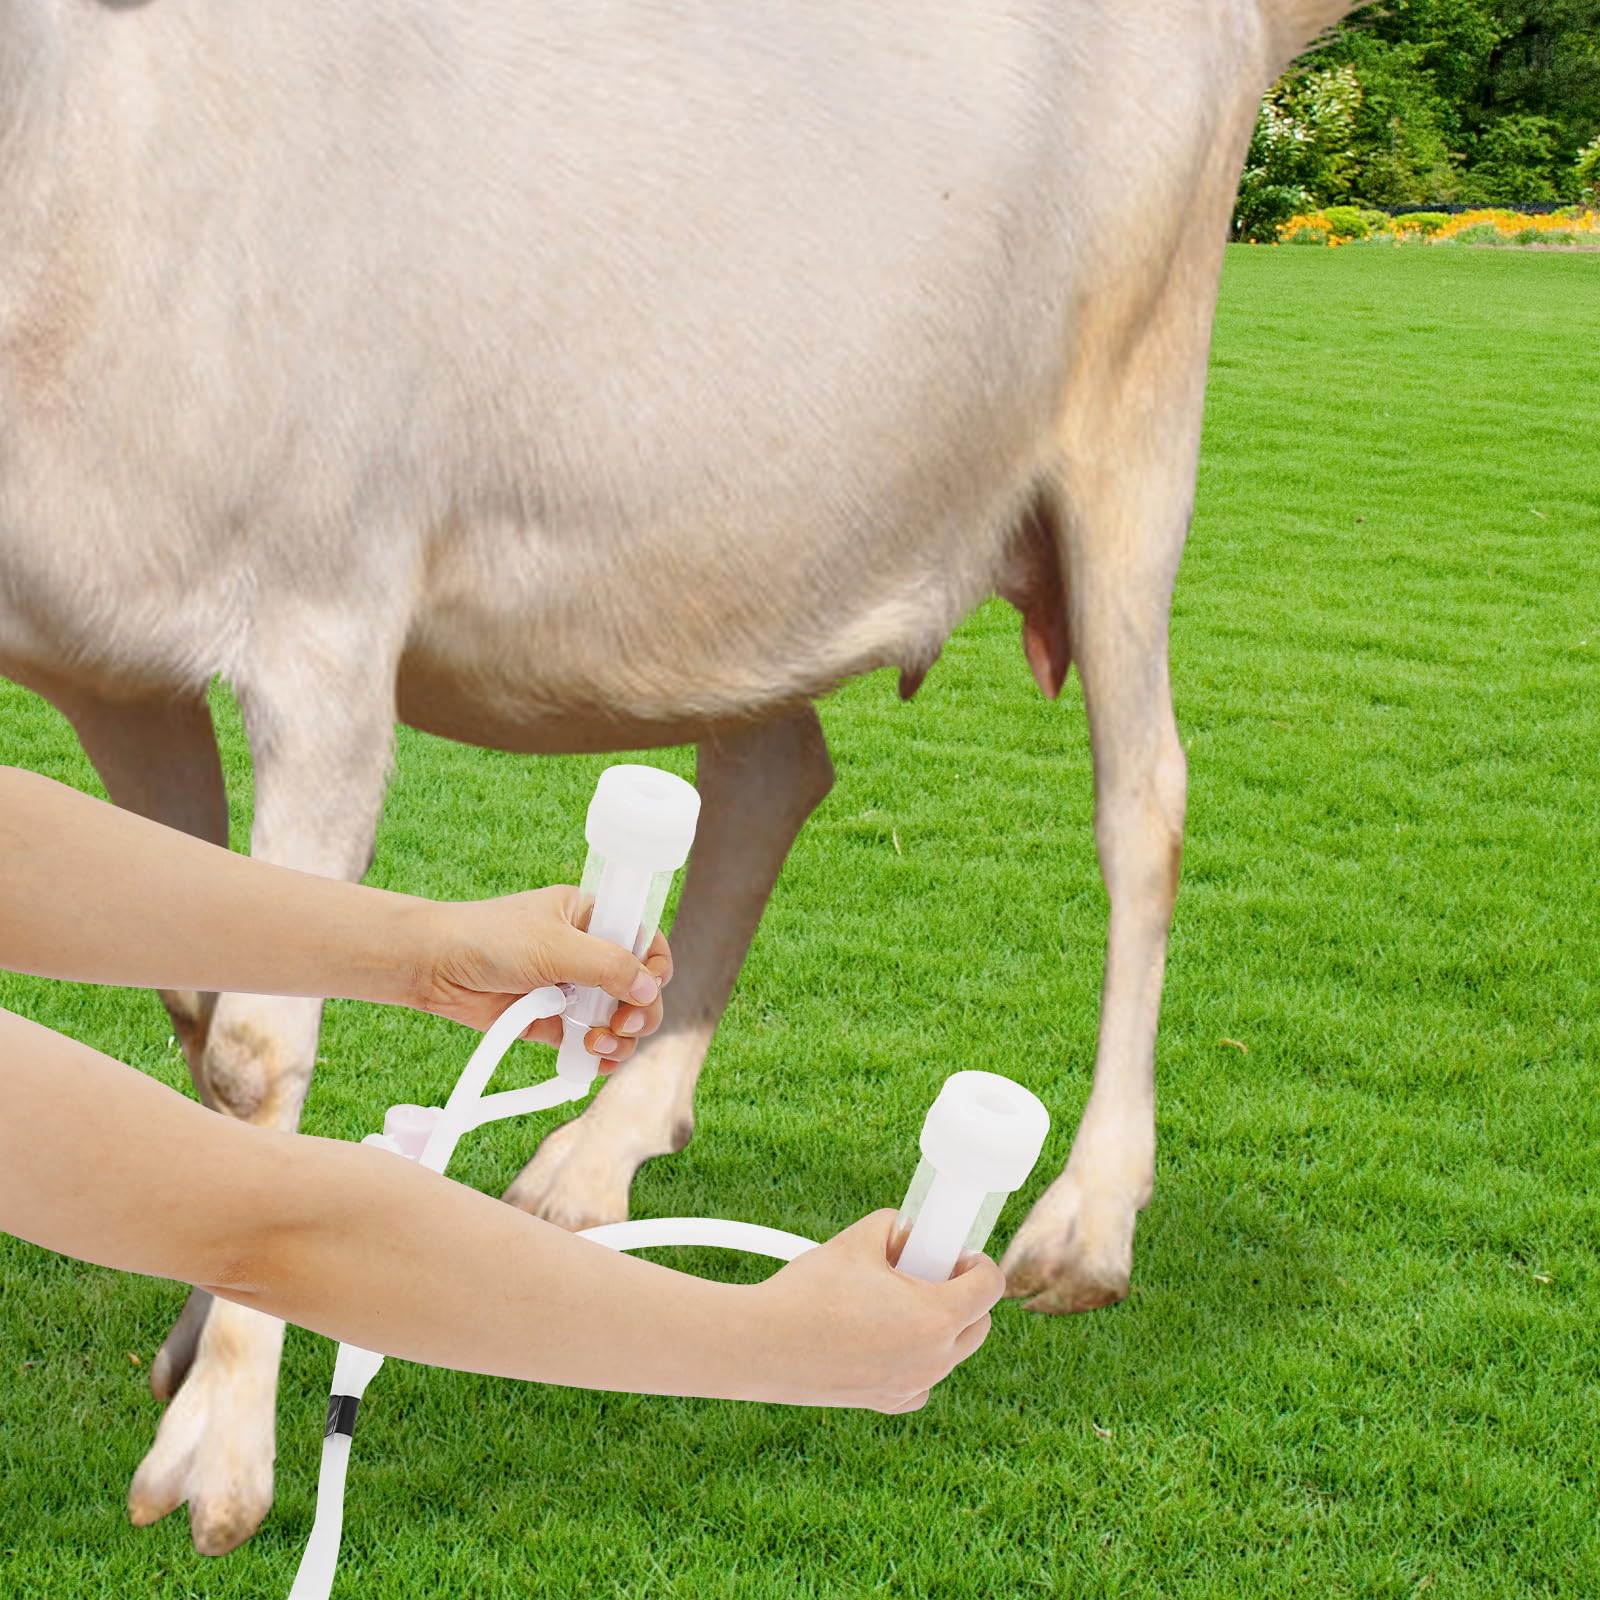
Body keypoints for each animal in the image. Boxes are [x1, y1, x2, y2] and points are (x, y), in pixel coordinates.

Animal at [0, 0, 1360, 1555]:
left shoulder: (325, 611)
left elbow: (253, 1046)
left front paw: (217, 1448)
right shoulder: (108, 664)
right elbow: (191, 993)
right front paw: (202, 1323)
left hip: (1132, 426)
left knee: (1144, 806)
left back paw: (1087, 1218)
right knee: (775, 770)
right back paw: (604, 1148)